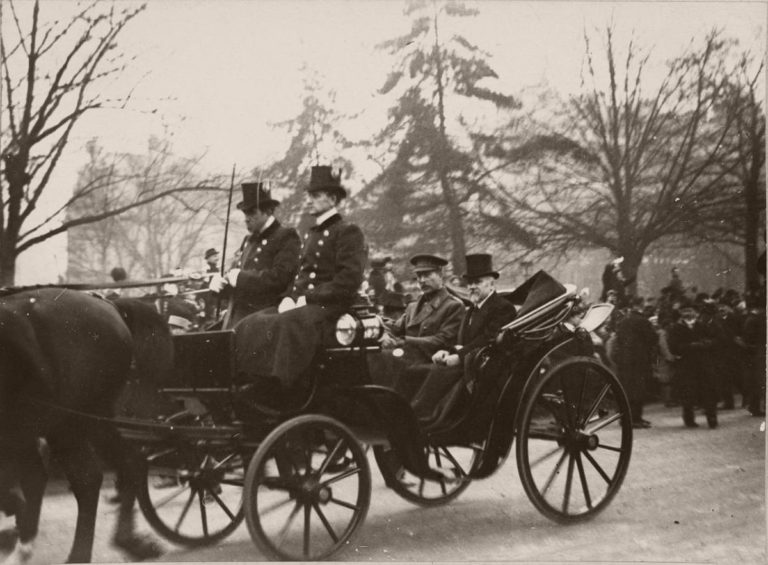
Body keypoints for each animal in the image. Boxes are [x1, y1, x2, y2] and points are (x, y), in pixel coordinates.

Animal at [0, 288, 174, 560]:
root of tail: (109, 305)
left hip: (70, 421)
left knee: (86, 479)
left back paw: (77, 553)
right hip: (78, 421)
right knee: (128, 462)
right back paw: (128, 540)